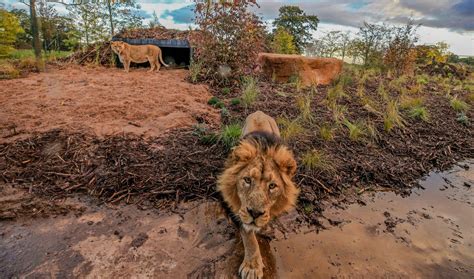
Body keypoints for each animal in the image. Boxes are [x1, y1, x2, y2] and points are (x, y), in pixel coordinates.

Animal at [218, 110, 298, 278]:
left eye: (272, 186)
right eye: (247, 180)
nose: (255, 213)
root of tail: (259, 112)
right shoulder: (237, 209)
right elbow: (248, 235)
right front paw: (252, 266)